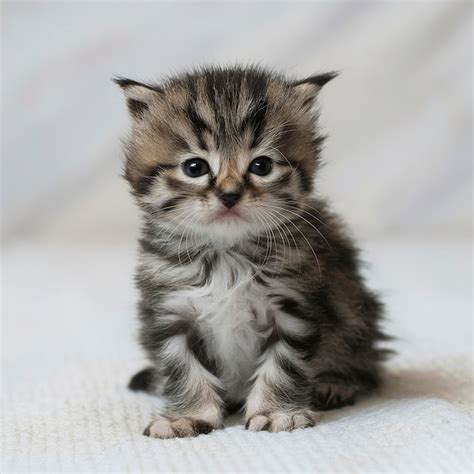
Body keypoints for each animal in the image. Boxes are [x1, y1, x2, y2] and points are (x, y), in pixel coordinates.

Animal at [115, 65, 388, 438]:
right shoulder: (170, 310)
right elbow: (183, 368)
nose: (230, 194)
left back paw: (335, 383)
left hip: (356, 315)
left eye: (262, 166)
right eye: (194, 168)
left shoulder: (293, 306)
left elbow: (283, 364)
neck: (226, 253)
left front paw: (276, 413)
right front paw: (187, 416)